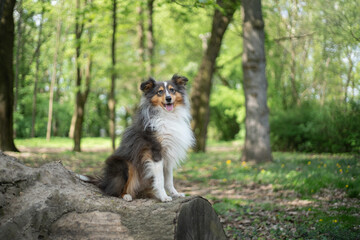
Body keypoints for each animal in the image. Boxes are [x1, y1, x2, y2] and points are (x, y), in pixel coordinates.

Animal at [80, 74, 195, 202]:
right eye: (159, 92)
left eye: (172, 90)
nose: (168, 98)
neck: (168, 116)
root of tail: (104, 182)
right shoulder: (155, 152)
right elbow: (160, 179)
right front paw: (164, 197)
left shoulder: (168, 154)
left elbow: (169, 179)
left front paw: (175, 194)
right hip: (125, 165)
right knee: (114, 191)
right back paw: (126, 195)